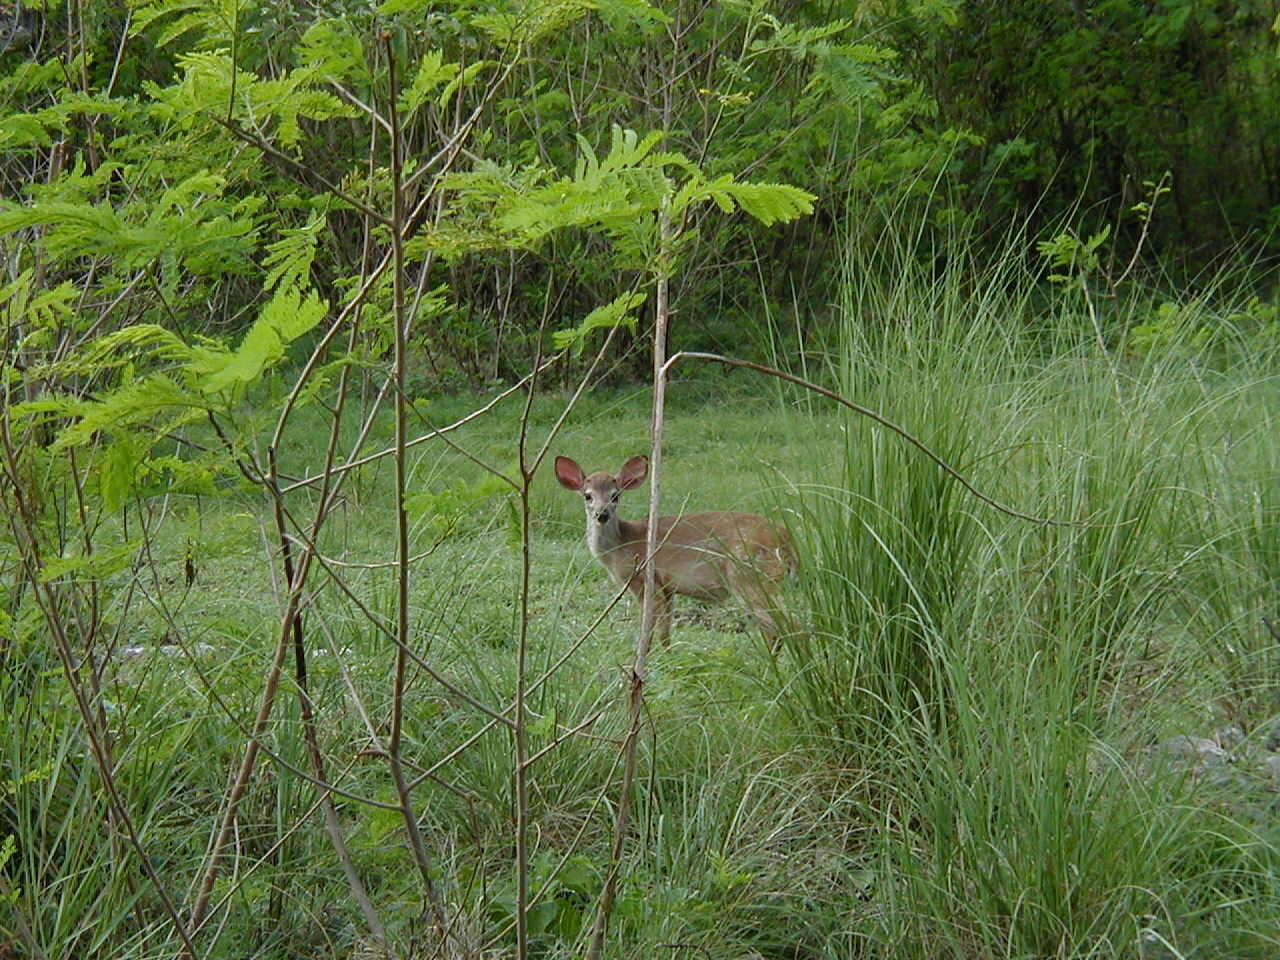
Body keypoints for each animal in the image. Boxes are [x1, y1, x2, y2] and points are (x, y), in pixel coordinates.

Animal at [555, 455, 793, 650]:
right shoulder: (668, 588)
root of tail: (786, 539)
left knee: (785, 627)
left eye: (615, 496)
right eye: (587, 496)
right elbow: (665, 633)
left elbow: (648, 632)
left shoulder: (644, 580)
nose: (601, 514)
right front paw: (667, 658)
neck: (621, 546)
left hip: (748, 577)